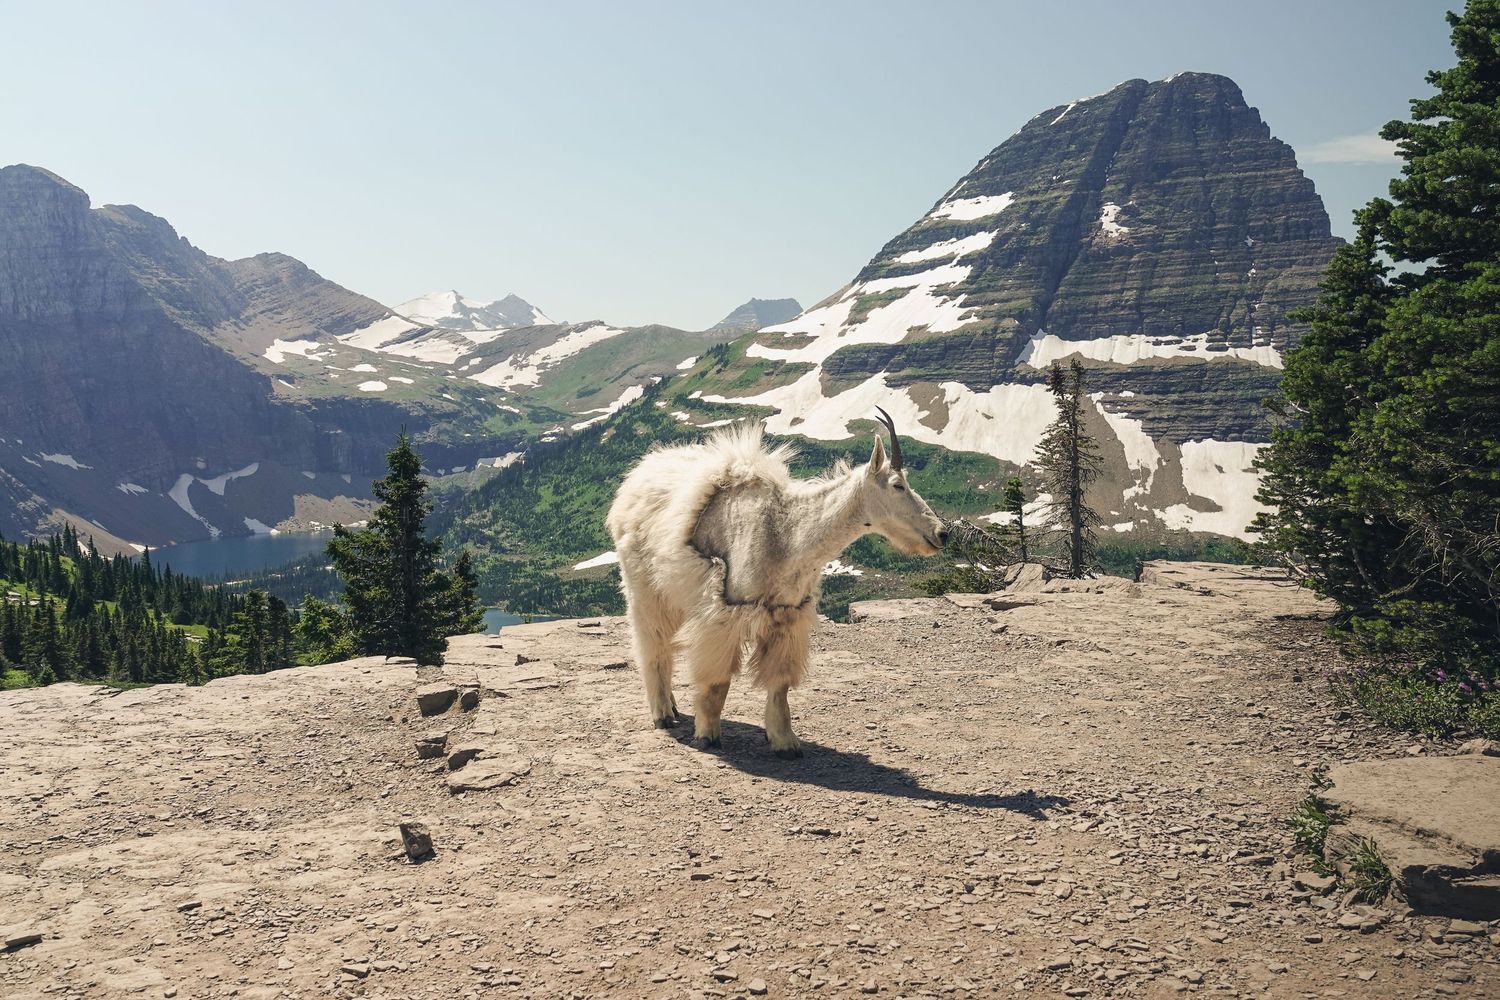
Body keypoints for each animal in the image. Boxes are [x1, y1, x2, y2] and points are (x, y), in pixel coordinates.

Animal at [605, 410, 947, 757]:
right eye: (898, 485)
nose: (942, 533)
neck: (785, 535)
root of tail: (633, 481)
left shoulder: (788, 614)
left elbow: (780, 684)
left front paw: (785, 742)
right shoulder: (723, 613)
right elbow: (717, 681)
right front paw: (707, 736)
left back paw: (674, 706)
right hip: (645, 589)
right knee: (654, 646)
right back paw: (663, 713)